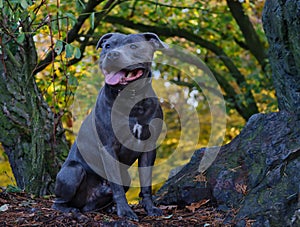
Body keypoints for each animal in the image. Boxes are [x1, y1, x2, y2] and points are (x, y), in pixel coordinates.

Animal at [52, 31, 168, 220]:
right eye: (107, 46)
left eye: (133, 46)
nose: (112, 54)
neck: (130, 98)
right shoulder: (108, 147)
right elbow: (117, 186)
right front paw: (125, 212)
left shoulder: (149, 148)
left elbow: (146, 184)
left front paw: (150, 208)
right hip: (73, 171)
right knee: (59, 202)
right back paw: (72, 211)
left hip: (125, 177)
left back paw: (108, 209)